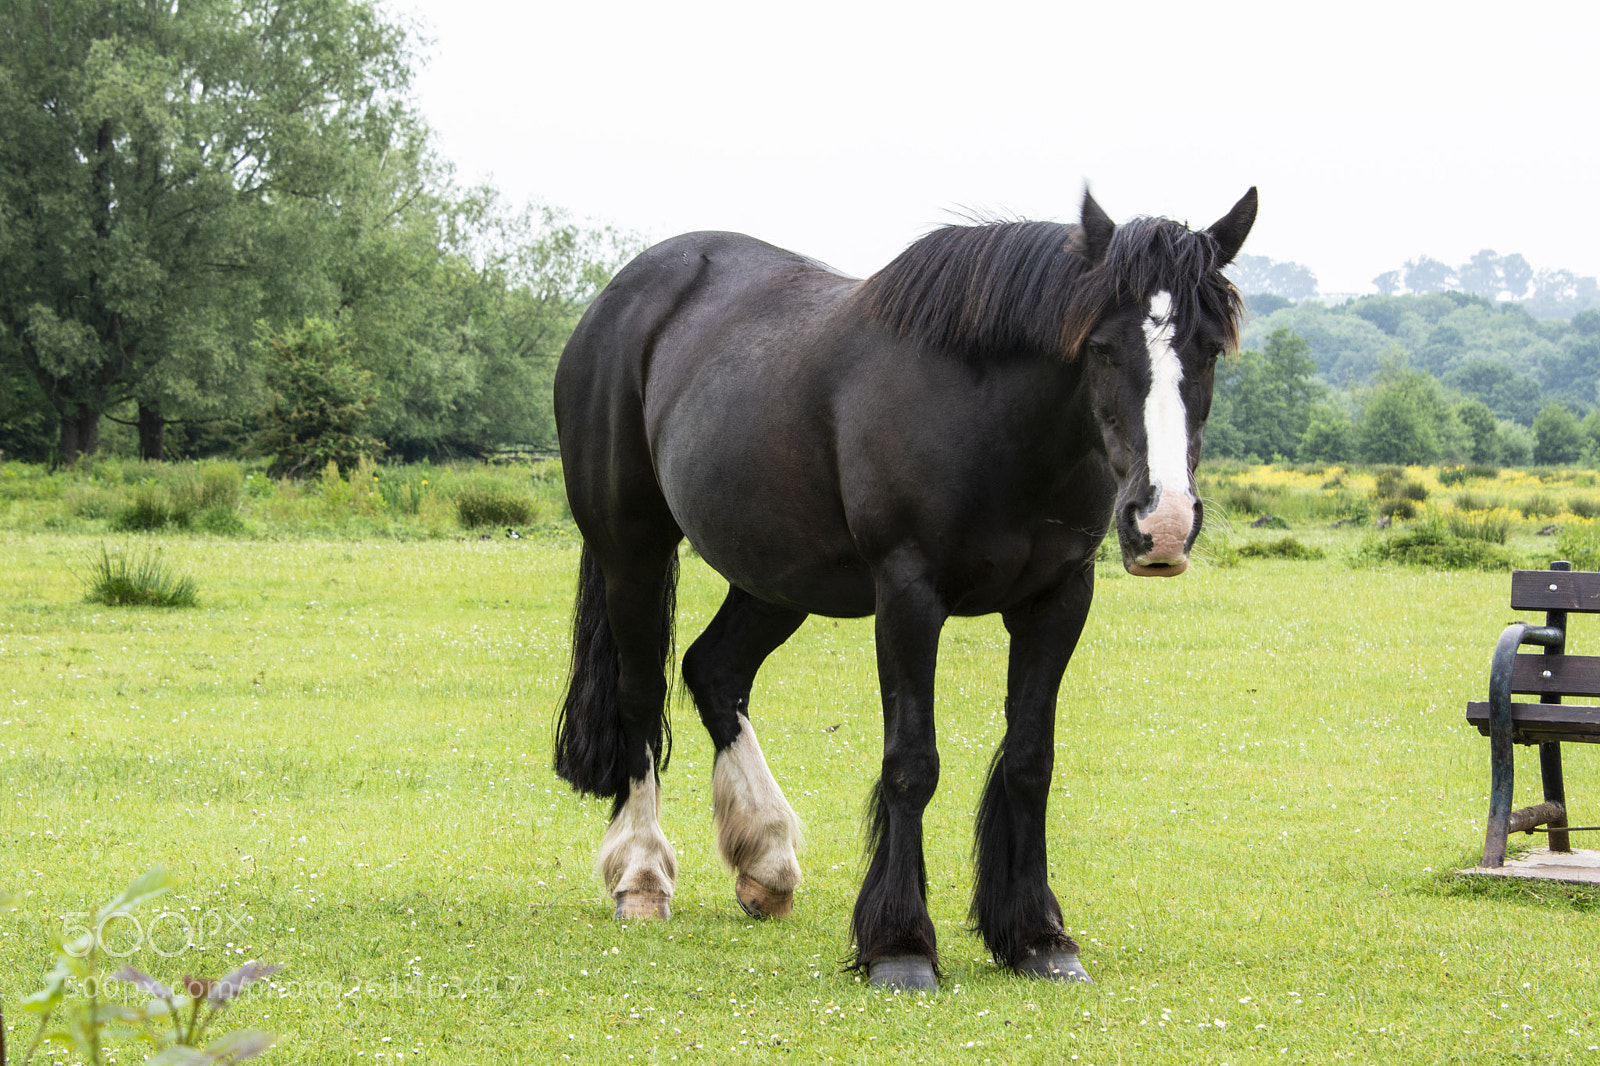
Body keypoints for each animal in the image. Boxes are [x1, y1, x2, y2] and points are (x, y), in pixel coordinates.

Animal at [552, 187, 1257, 991]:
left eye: (1209, 349)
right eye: (1102, 346)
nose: (1162, 523)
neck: (992, 417)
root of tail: (623, 294)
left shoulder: (1057, 601)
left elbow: (1029, 761)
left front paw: (1038, 937)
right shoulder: (908, 596)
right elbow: (912, 763)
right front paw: (900, 944)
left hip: (776, 577)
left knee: (715, 671)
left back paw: (766, 859)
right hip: (630, 550)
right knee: (642, 697)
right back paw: (641, 875)